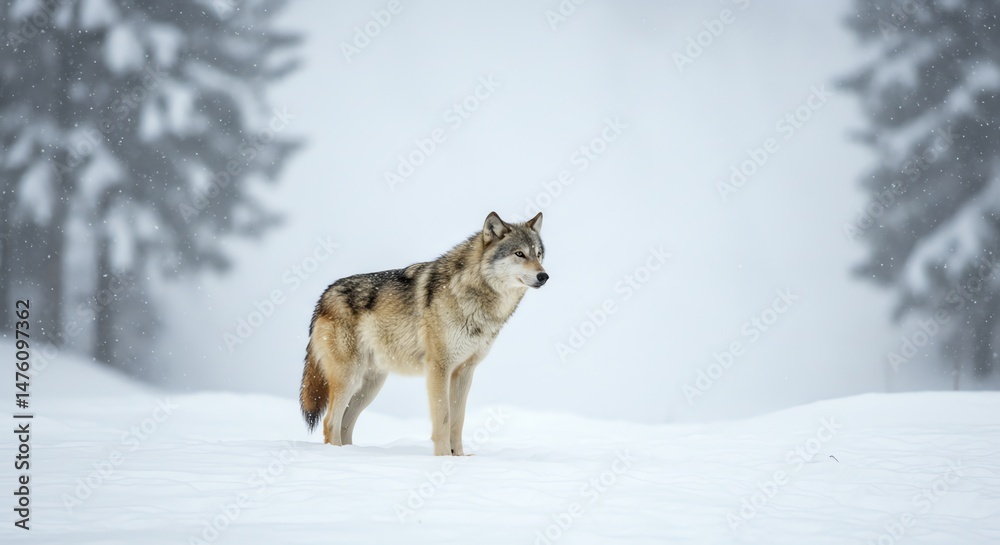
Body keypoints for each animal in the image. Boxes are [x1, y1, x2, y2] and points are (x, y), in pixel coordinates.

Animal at [299, 212, 547, 455]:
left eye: (538, 254)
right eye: (519, 254)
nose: (544, 276)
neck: (471, 292)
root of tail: (324, 297)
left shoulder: (465, 372)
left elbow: (458, 421)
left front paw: (459, 457)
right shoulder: (439, 368)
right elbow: (444, 420)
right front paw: (443, 458)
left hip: (369, 387)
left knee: (345, 425)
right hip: (350, 379)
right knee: (330, 422)